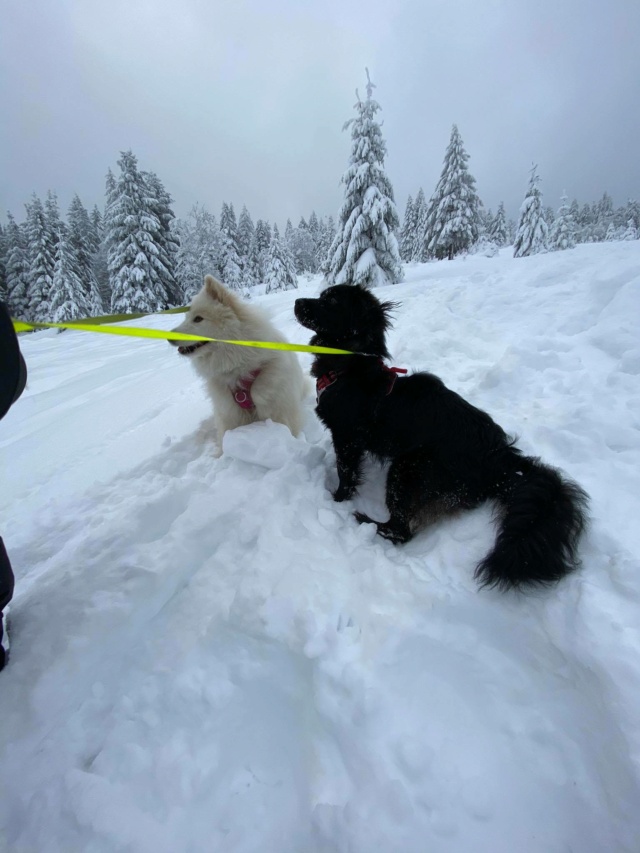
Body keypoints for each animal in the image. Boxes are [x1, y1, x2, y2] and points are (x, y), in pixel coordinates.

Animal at [169, 278, 308, 452]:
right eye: (186, 317)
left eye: (198, 319)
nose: (168, 337)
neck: (238, 366)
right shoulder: (229, 413)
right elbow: (224, 438)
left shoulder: (277, 409)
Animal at [296, 282, 592, 588]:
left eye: (331, 302)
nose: (296, 302)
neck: (349, 365)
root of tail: (502, 458)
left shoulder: (346, 438)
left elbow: (346, 474)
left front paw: (336, 501)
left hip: (408, 468)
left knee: (402, 530)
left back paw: (365, 522)